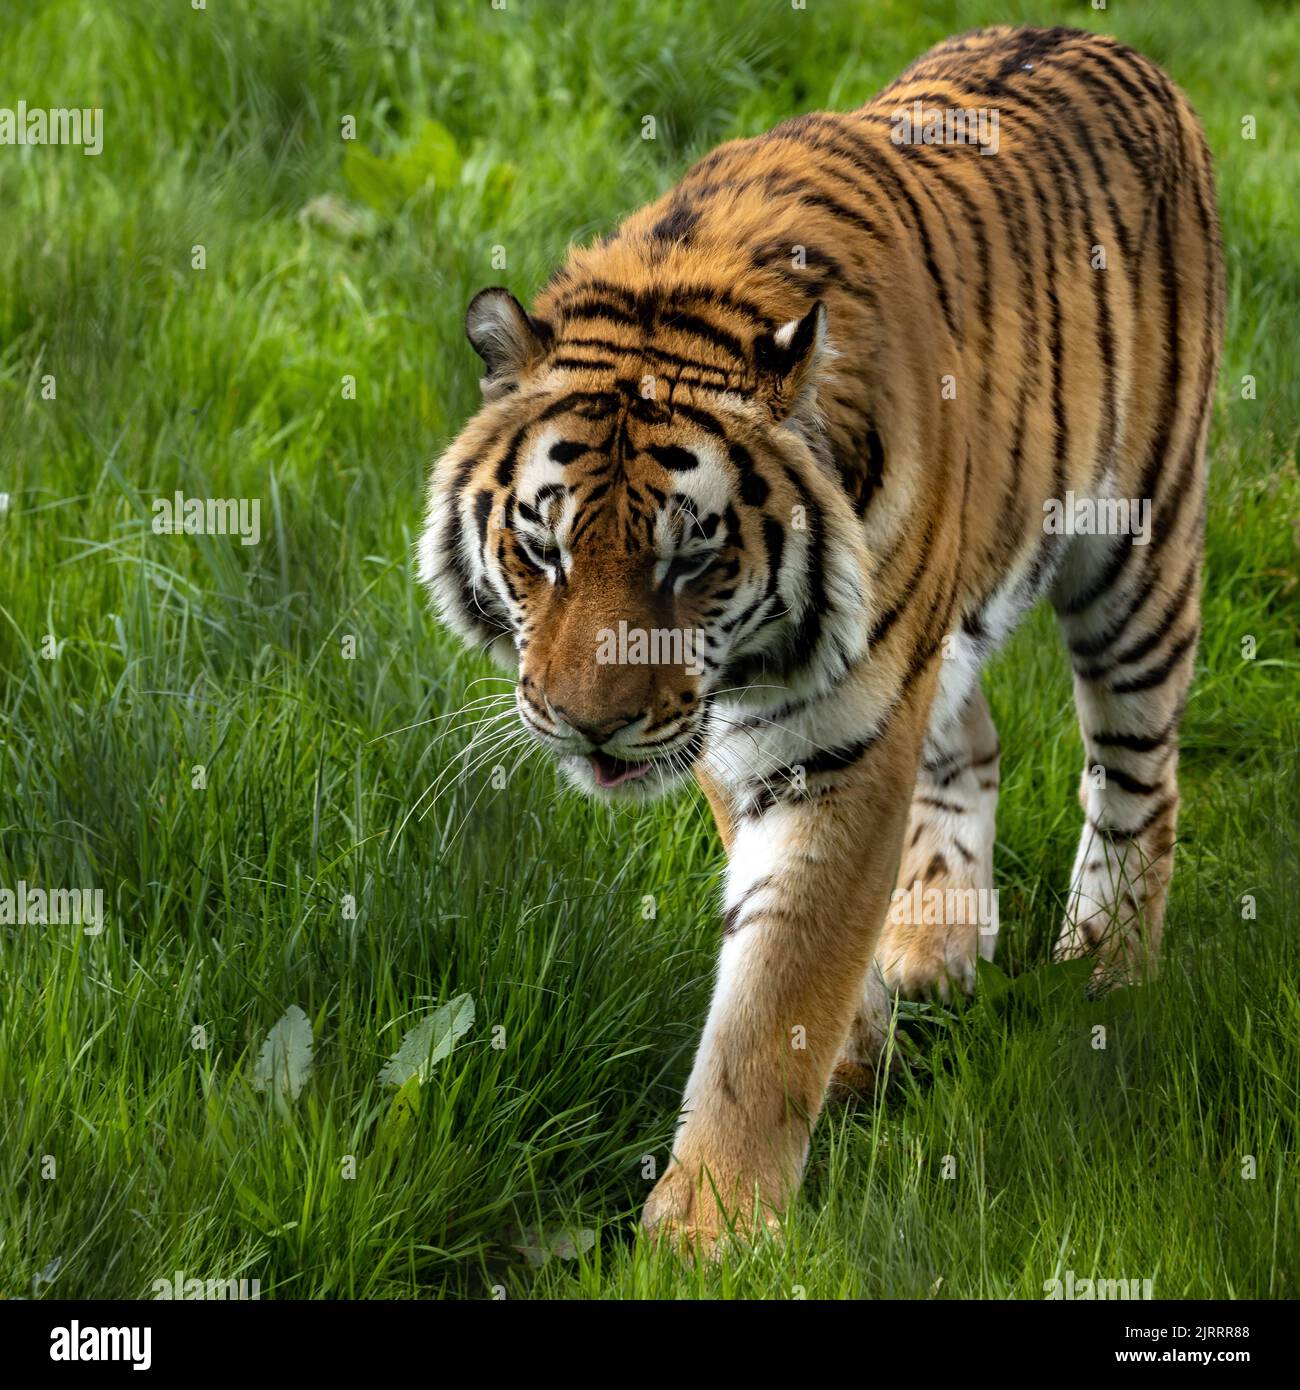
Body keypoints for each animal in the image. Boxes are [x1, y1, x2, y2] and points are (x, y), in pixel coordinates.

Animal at [422, 27, 1223, 1256]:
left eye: (691, 562)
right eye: (541, 550)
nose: (589, 728)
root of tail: (1115, 45)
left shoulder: (837, 743)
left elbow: (777, 988)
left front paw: (708, 1231)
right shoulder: (742, 729)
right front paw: (851, 1057)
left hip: (1140, 544)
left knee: (1138, 774)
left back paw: (1109, 965)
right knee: (971, 739)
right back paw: (933, 943)